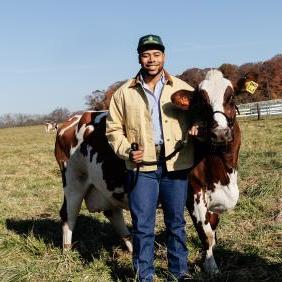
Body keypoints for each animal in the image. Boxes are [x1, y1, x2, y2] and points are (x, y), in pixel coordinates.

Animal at [54, 69, 258, 274]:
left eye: (231, 97)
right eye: (202, 101)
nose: (220, 133)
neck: (223, 171)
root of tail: (71, 120)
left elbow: (213, 232)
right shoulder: (194, 193)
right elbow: (206, 233)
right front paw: (211, 267)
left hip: (105, 185)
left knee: (114, 214)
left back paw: (133, 249)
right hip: (73, 181)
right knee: (68, 215)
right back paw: (66, 255)